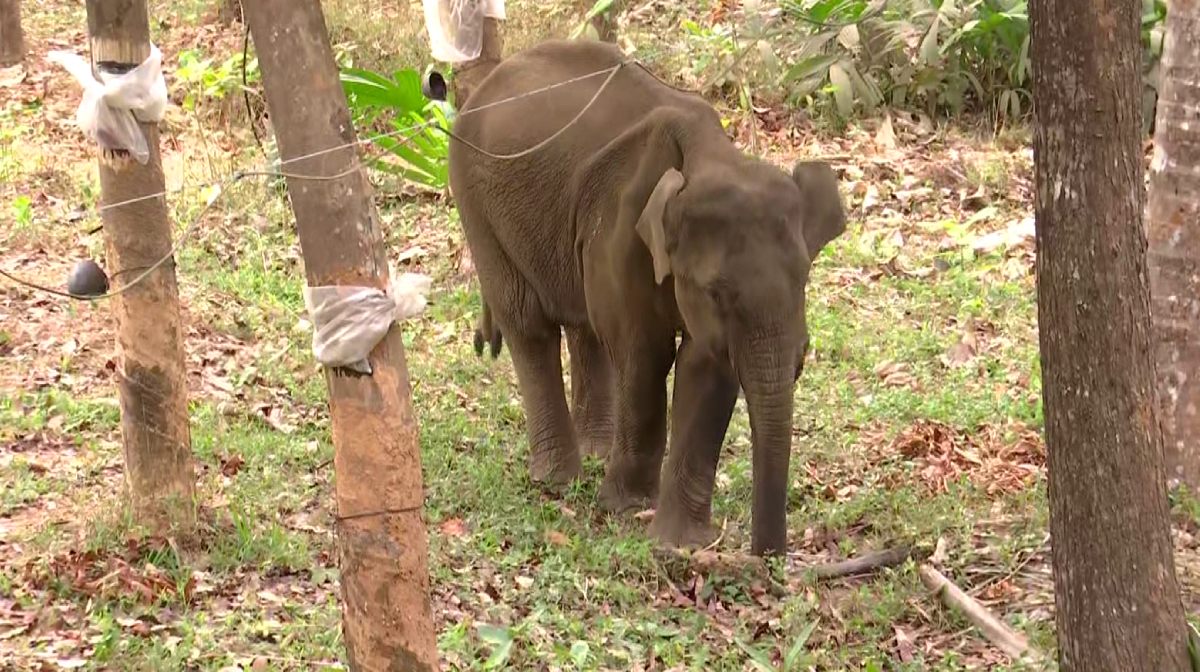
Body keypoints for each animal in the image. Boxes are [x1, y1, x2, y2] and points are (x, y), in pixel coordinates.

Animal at [447, 39, 846, 556]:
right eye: (716, 292)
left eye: (804, 278)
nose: (769, 557)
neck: (711, 154)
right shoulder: (621, 229)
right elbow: (645, 352)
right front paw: (628, 508)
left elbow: (708, 366)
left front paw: (680, 542)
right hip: (474, 199)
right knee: (529, 324)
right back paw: (557, 479)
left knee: (582, 324)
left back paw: (595, 452)